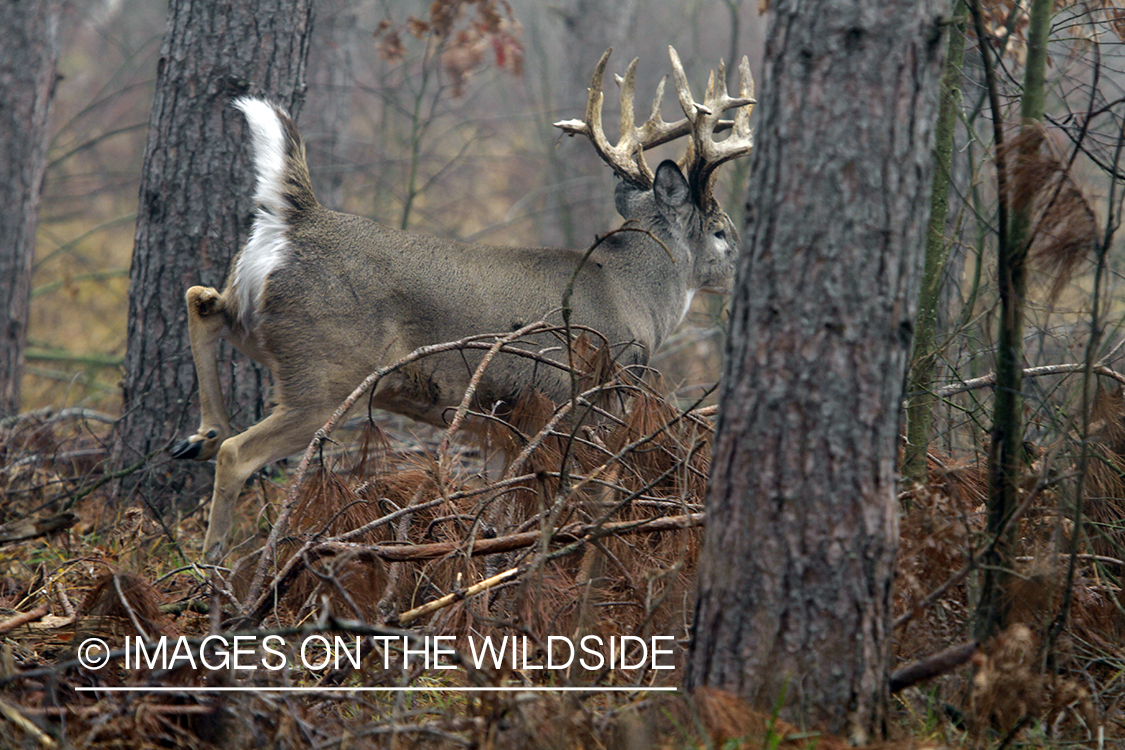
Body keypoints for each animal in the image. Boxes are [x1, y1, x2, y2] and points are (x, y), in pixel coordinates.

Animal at [175, 45, 751, 557]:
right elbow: (591, 501)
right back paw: (212, 561)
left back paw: (201, 434)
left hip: (260, 323)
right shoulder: (587, 405)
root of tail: (297, 220)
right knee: (236, 453)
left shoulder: (514, 426)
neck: (632, 294)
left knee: (202, 300)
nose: (743, 266)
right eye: (722, 231)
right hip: (323, 371)